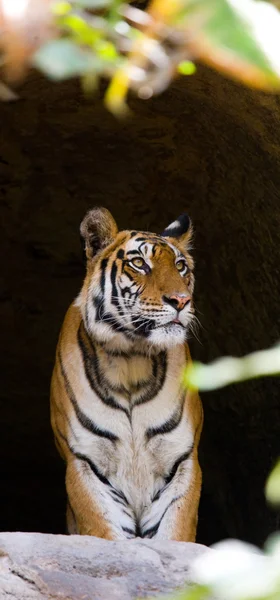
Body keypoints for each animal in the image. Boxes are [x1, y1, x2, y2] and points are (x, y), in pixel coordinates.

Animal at [50, 207, 203, 544]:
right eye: (139, 264)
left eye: (180, 266)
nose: (181, 301)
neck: (132, 360)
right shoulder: (85, 462)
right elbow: (104, 533)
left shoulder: (181, 460)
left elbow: (174, 533)